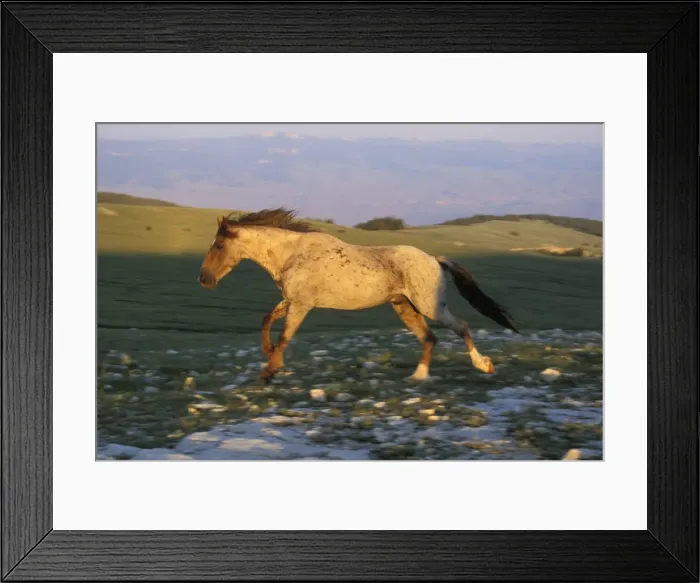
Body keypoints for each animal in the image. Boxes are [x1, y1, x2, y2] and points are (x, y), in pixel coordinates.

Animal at [199, 208, 518, 382]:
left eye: (218, 245)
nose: (204, 280)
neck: (292, 254)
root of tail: (435, 260)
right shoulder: (291, 300)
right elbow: (267, 320)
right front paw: (268, 356)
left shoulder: (302, 304)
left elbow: (285, 335)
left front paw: (270, 371)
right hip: (404, 307)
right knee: (430, 338)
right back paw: (418, 377)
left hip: (430, 307)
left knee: (461, 327)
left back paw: (483, 365)